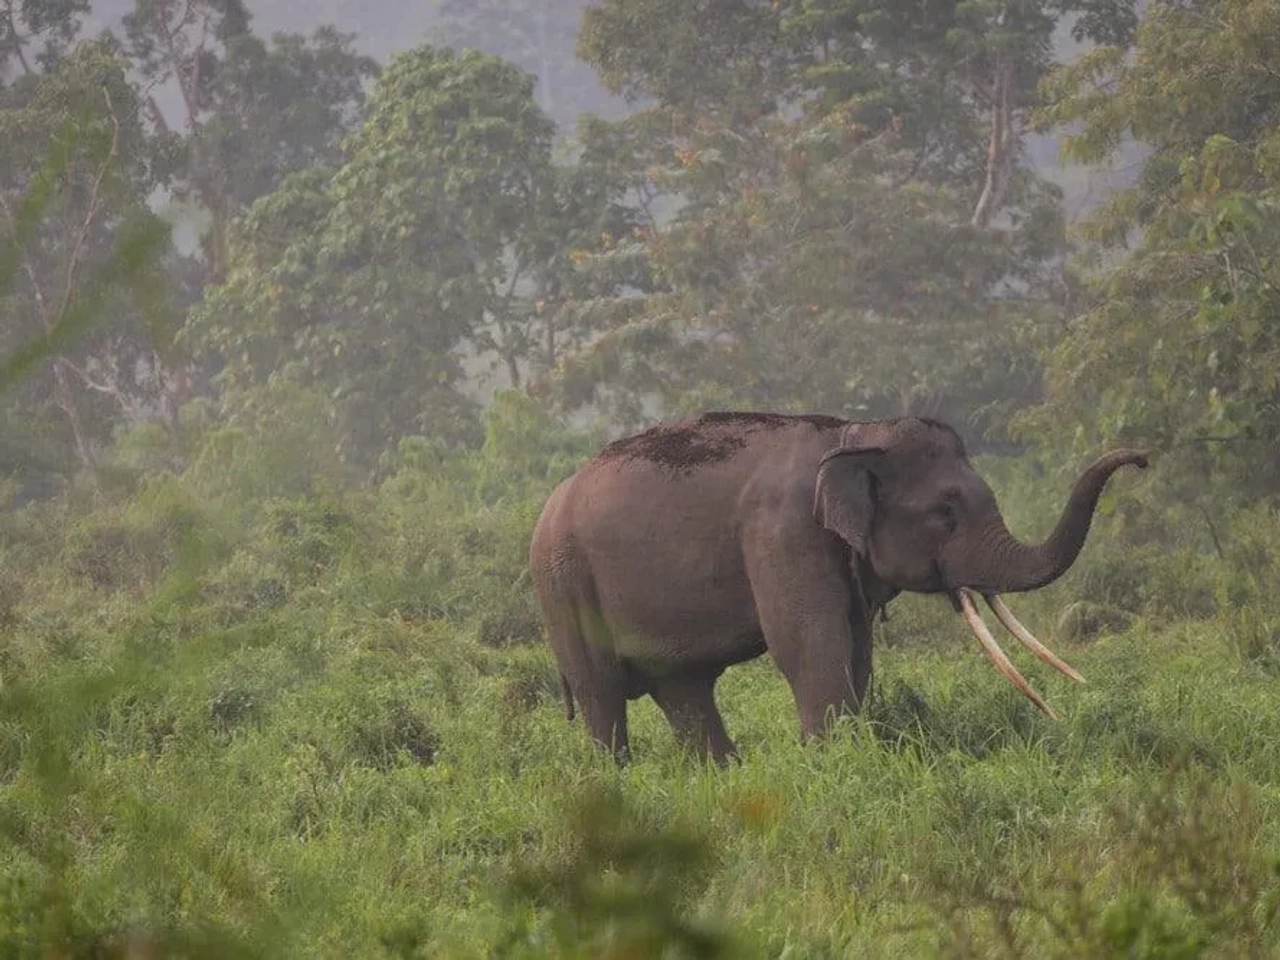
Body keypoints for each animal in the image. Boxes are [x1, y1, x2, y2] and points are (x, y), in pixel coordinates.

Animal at [528, 412, 1148, 764]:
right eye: (945, 512)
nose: (1141, 457)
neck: (855, 436)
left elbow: (857, 649)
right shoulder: (782, 533)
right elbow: (808, 644)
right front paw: (832, 762)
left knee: (684, 691)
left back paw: (723, 775)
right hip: (562, 585)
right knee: (601, 693)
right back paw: (615, 781)